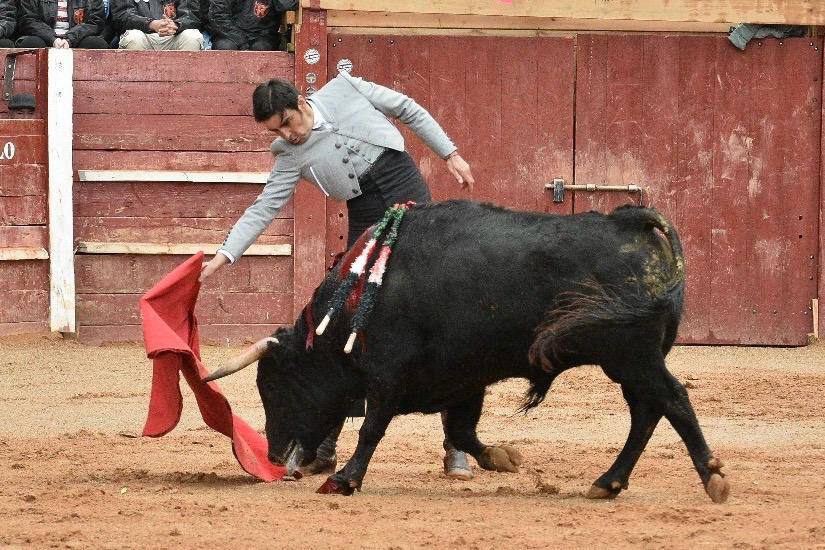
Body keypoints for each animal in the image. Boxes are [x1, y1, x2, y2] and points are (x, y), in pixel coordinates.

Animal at [233, 202, 728, 504]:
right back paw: (608, 482)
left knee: (672, 400)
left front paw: (343, 479)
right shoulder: (463, 378)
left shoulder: (387, 375)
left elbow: (373, 428)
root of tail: (629, 222)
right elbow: (462, 430)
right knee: (647, 411)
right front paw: (503, 458)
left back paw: (712, 477)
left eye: (274, 387)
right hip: (628, 362)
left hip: (632, 356)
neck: (359, 297)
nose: (273, 455)